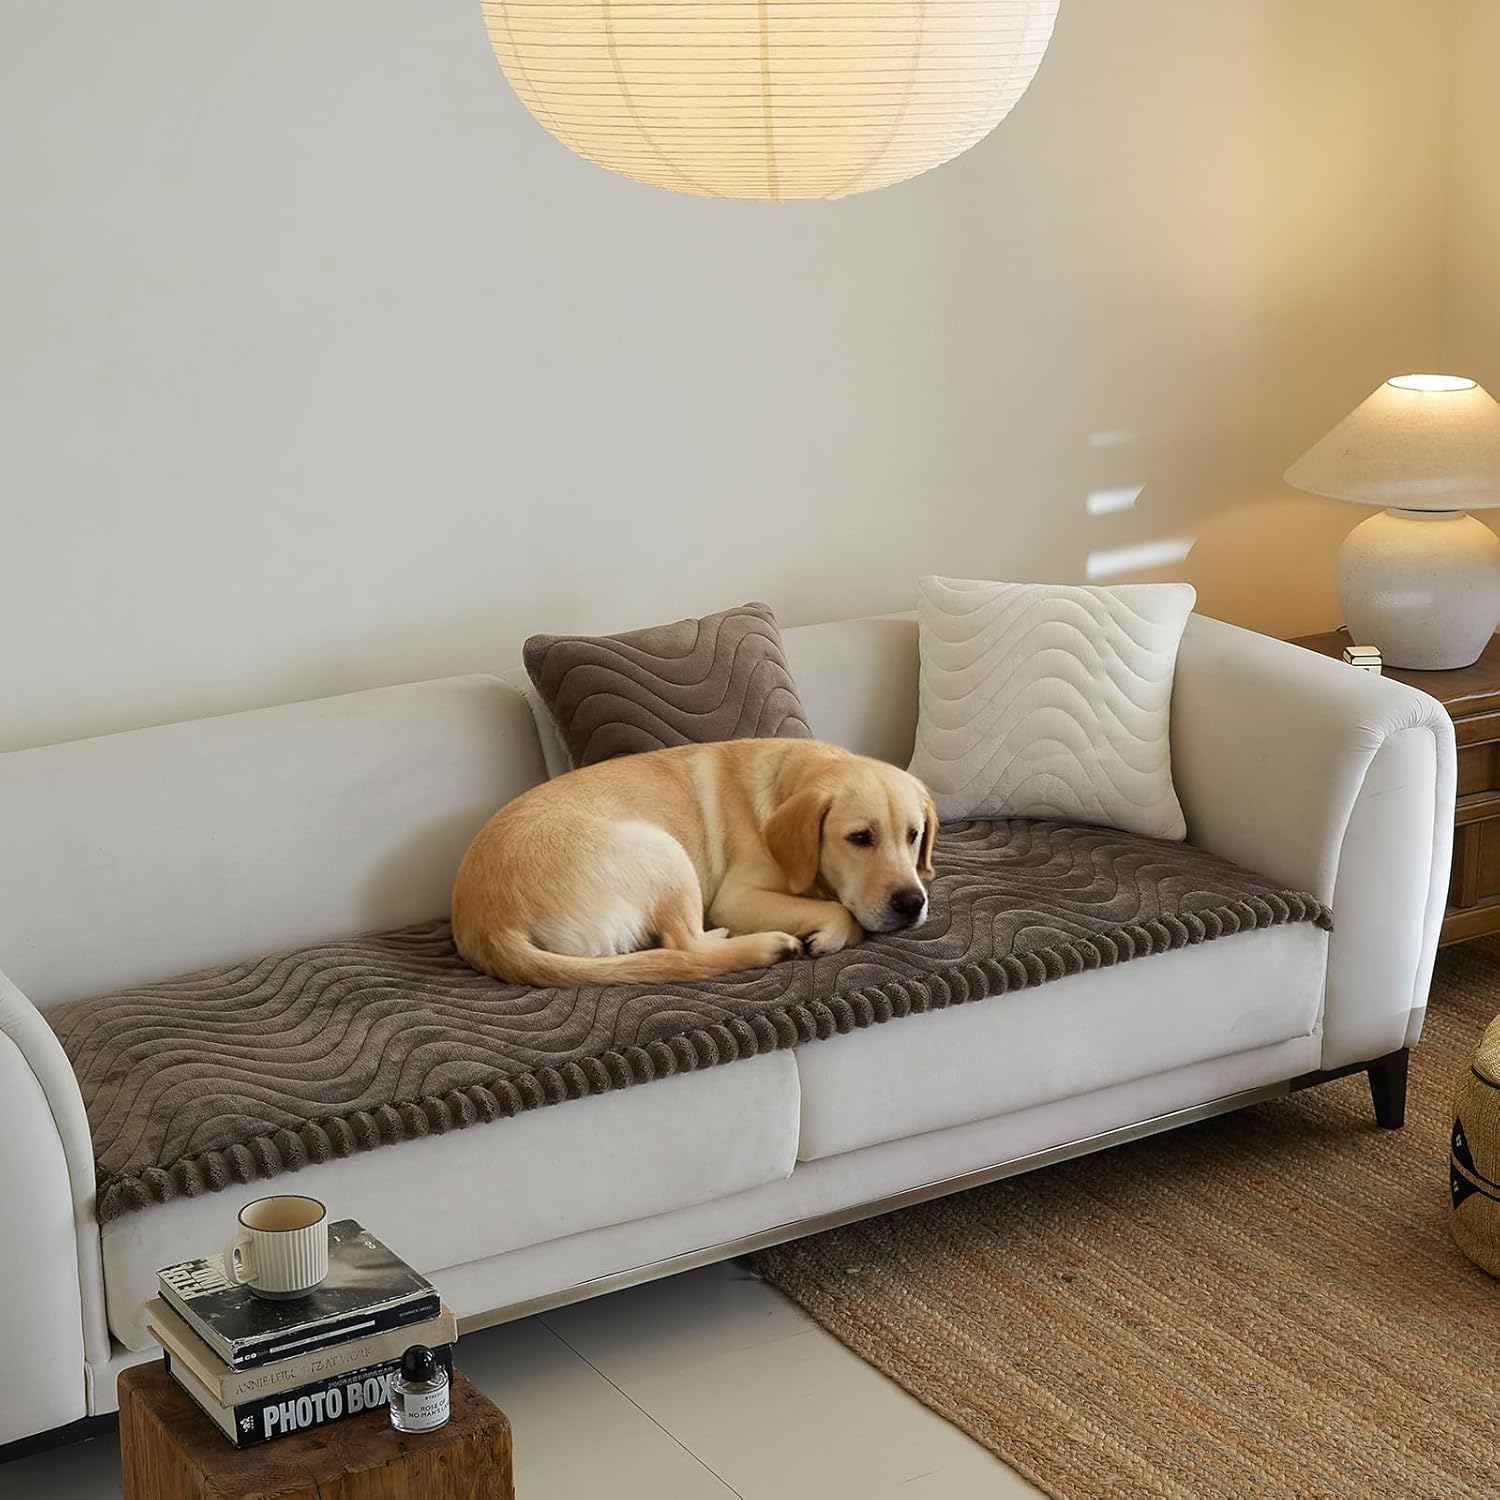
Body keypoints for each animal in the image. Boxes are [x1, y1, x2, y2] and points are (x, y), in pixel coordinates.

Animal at [451, 738, 937, 986]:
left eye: (914, 835)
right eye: (860, 838)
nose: (912, 902)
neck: (788, 777)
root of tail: (488, 927)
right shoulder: (737, 898)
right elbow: (841, 912)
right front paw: (828, 933)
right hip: (663, 852)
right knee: (686, 946)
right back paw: (764, 942)